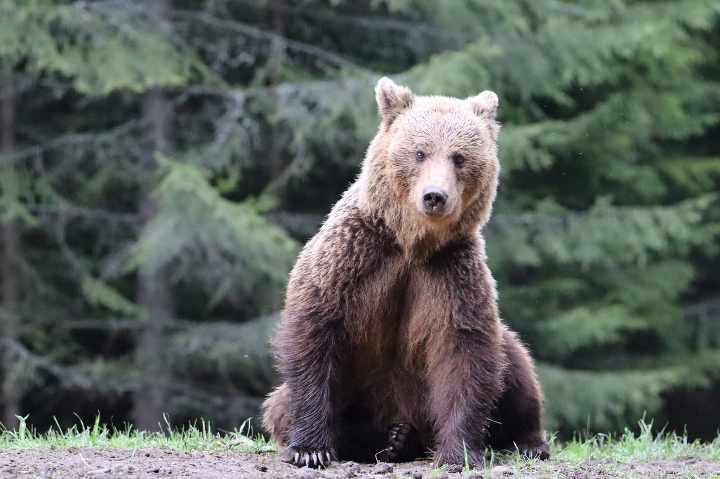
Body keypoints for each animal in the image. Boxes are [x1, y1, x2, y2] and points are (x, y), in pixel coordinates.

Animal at [262, 78, 548, 468]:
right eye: (419, 152)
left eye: (459, 157)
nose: (434, 196)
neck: (411, 243)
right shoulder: (354, 258)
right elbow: (316, 331)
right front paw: (311, 449)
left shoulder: (450, 273)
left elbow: (464, 351)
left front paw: (459, 452)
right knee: (279, 405)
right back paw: (385, 439)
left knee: (516, 366)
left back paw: (527, 442)